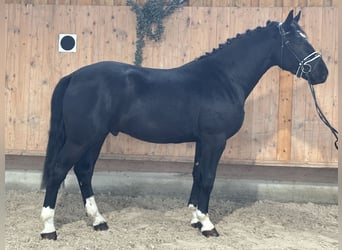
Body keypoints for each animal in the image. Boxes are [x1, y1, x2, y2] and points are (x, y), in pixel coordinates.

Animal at [40, 10, 328, 240]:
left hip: (95, 137)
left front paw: (195, 219)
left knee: (84, 171)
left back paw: (98, 221)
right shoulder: (215, 140)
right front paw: (208, 225)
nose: (322, 73)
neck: (224, 79)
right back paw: (48, 229)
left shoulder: (203, 141)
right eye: (295, 40)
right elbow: (209, 178)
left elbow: (197, 175)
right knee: (58, 171)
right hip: (81, 139)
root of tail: (74, 76)